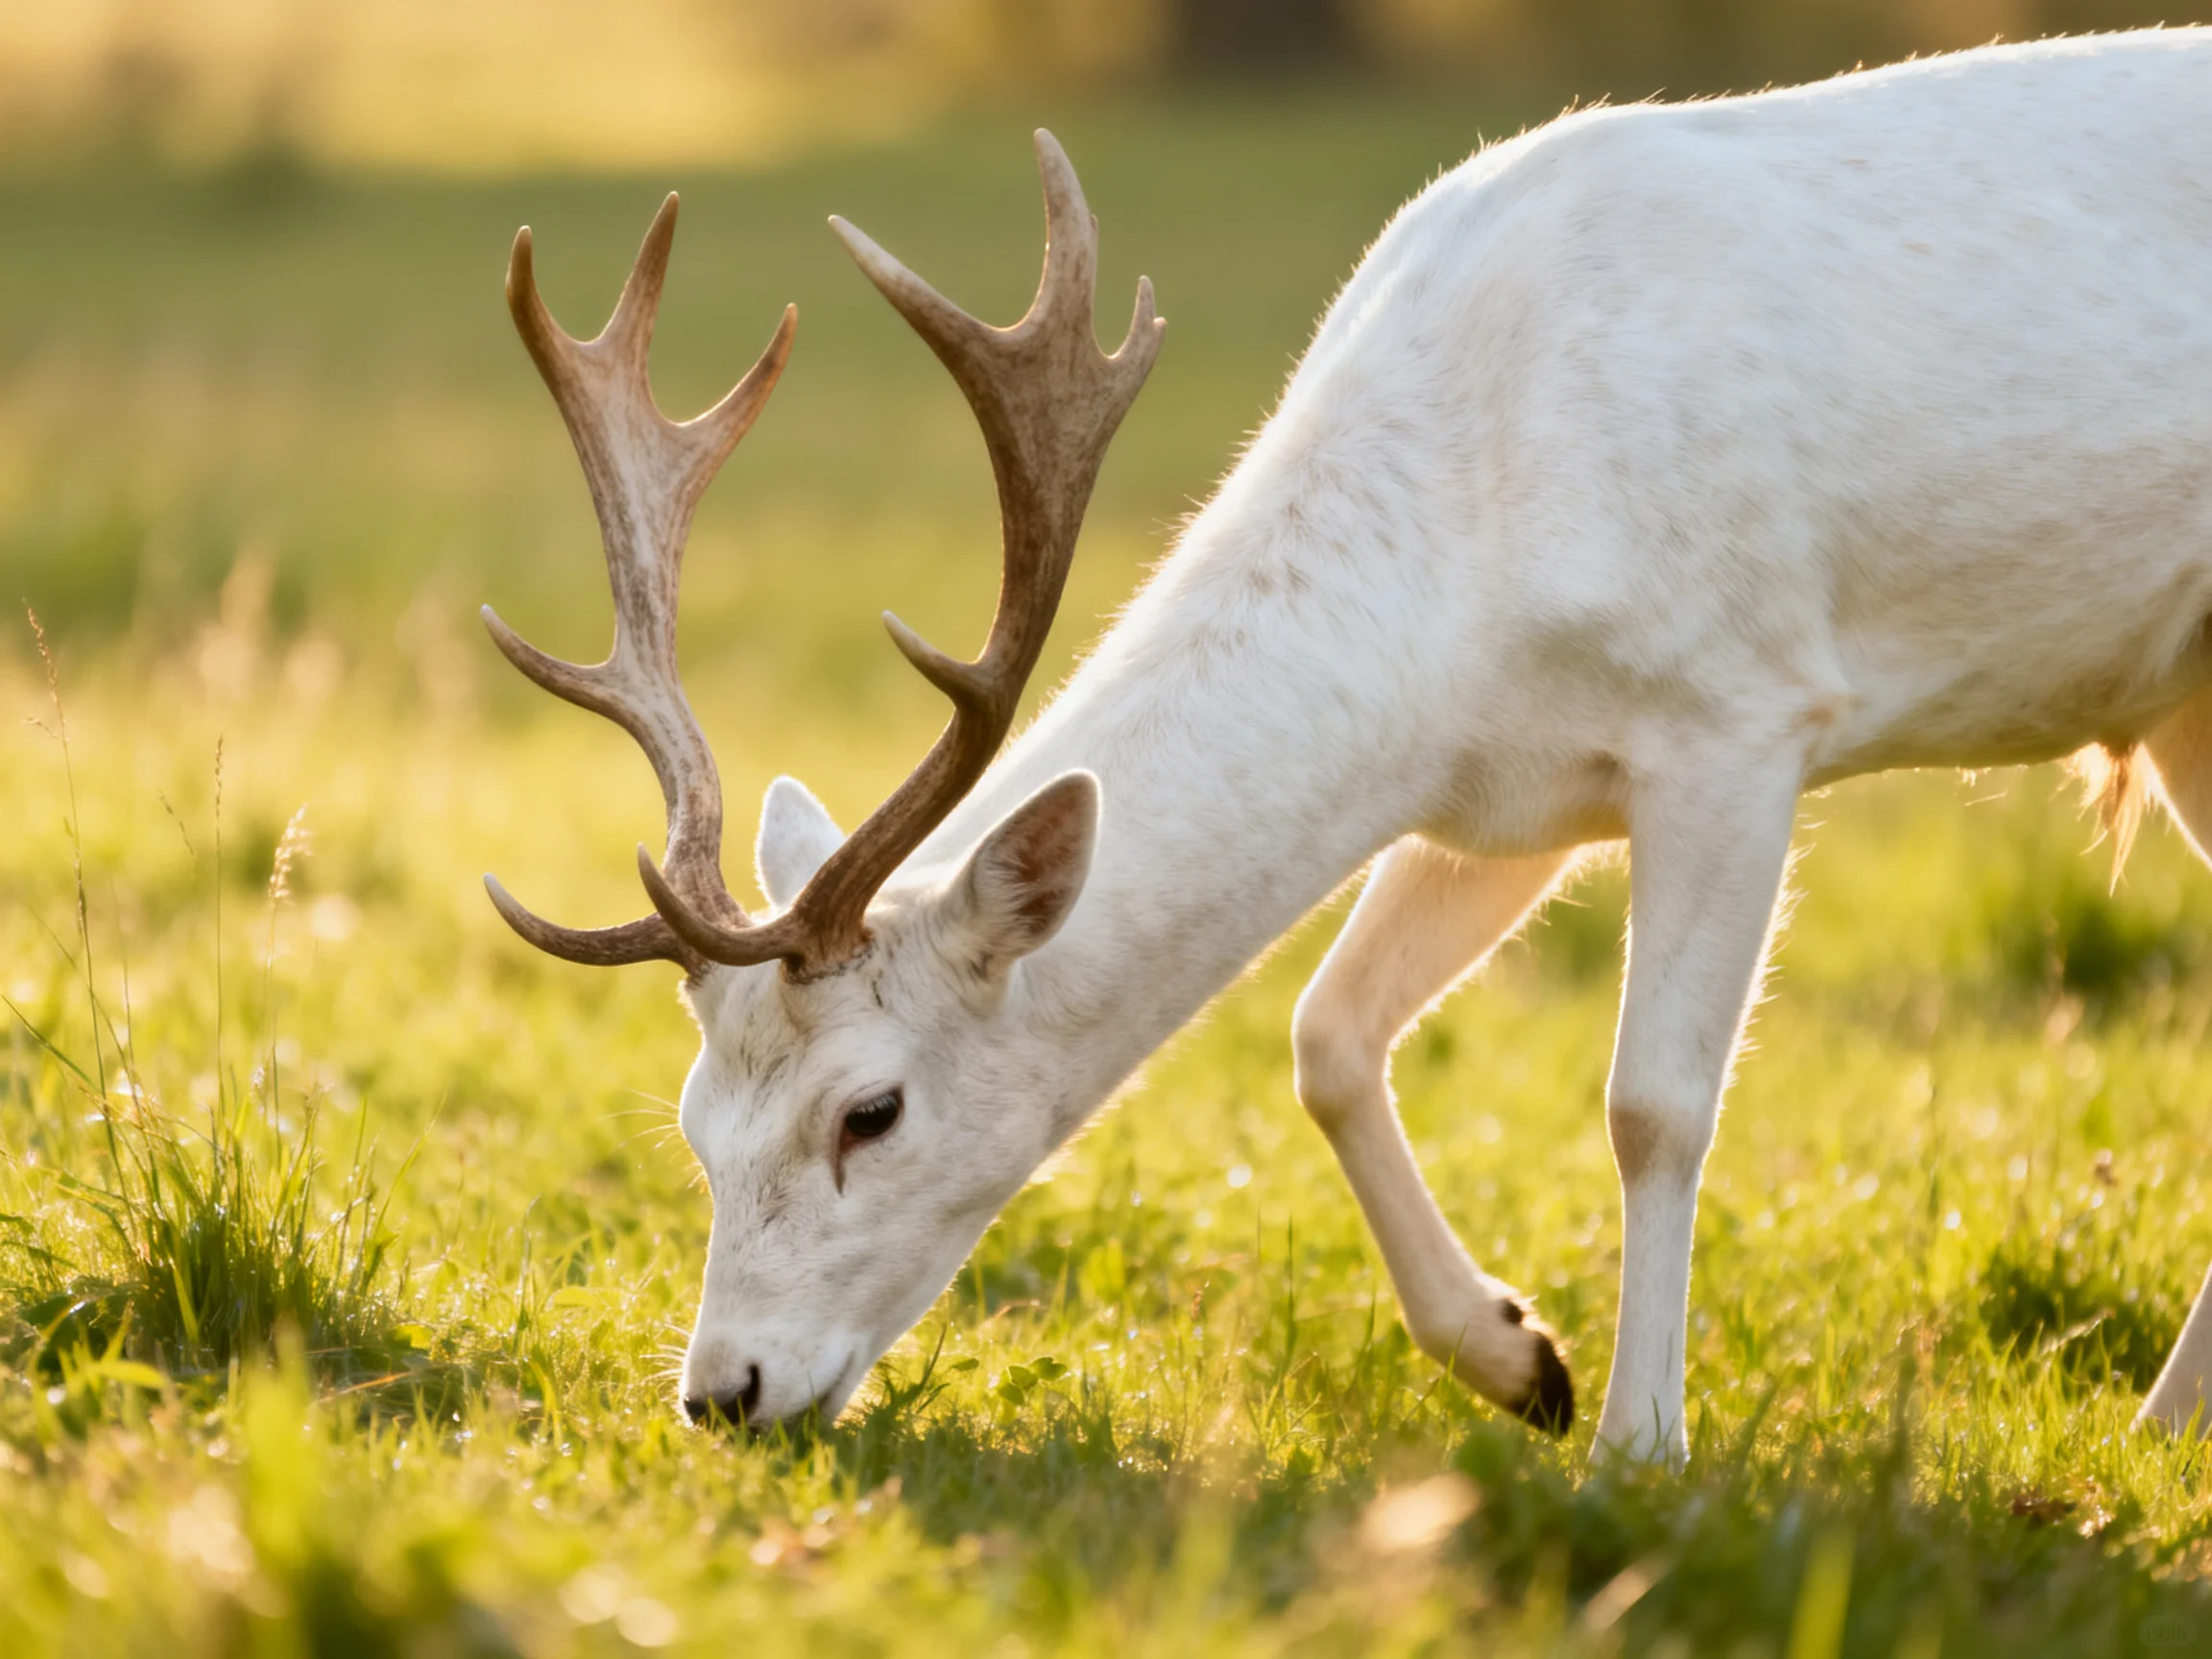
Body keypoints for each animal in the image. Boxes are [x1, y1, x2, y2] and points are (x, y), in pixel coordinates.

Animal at [484, 28, 2212, 1465]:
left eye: (871, 1110)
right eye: (693, 1123)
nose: (722, 1391)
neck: (1470, 563)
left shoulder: (1738, 705)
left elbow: (1652, 1100)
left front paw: (1637, 1447)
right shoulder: (1502, 802)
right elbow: (1322, 1033)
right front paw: (1519, 1360)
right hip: (2184, 699)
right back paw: (2160, 1426)